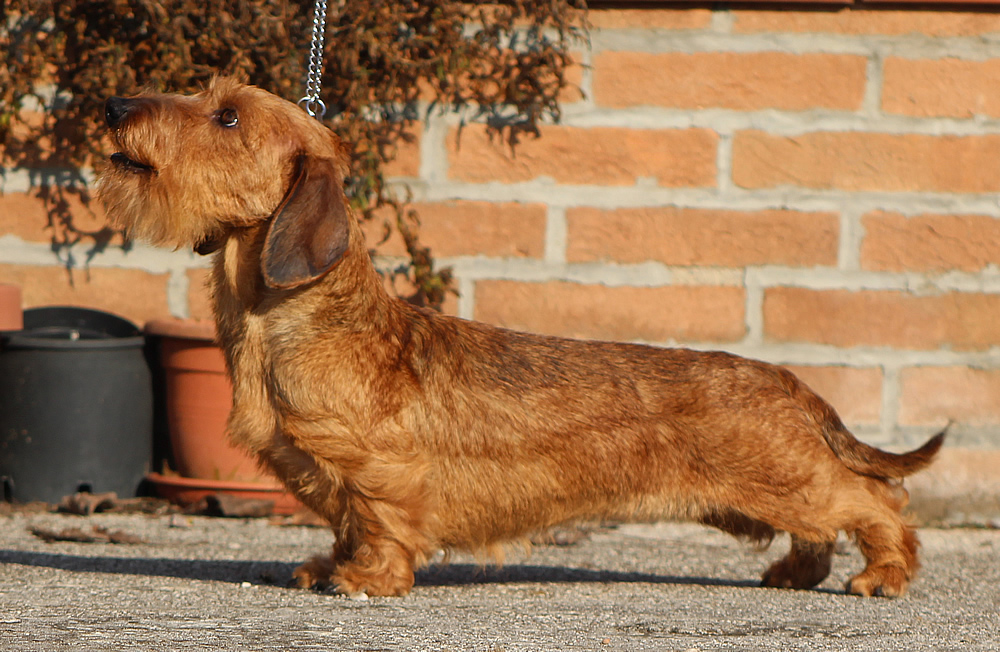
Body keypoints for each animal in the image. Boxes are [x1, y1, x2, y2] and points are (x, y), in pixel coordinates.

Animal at [97, 79, 940, 600]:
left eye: (228, 117)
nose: (112, 105)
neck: (297, 318)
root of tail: (789, 383)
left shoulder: (379, 472)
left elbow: (376, 522)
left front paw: (367, 579)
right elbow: (340, 525)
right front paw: (322, 566)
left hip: (792, 479)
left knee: (877, 501)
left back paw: (885, 575)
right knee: (825, 529)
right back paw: (797, 575)